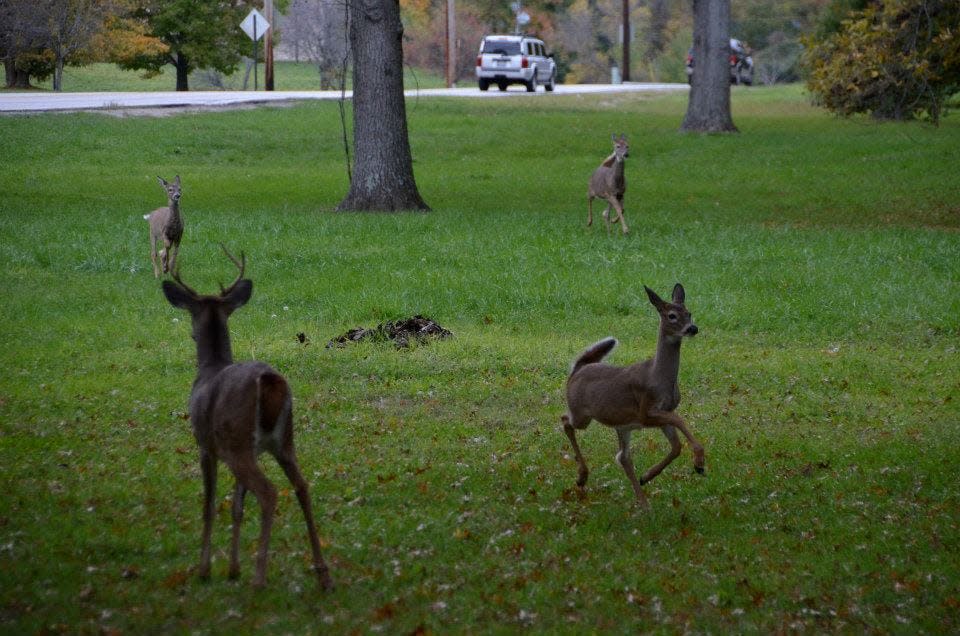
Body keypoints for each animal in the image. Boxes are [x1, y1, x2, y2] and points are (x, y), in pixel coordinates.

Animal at [161, 246, 334, 588]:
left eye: (191, 314)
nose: (191, 334)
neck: (210, 368)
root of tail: (270, 381)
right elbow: (237, 507)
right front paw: (232, 568)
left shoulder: (205, 445)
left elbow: (210, 505)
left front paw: (205, 570)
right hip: (283, 441)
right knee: (302, 486)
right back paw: (321, 573)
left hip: (237, 442)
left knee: (268, 492)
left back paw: (259, 577)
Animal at [564, 284, 704, 506]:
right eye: (672, 316)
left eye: (689, 313)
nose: (692, 328)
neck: (659, 376)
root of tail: (577, 369)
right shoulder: (645, 411)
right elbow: (679, 420)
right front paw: (699, 461)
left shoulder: (662, 411)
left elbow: (676, 446)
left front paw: (647, 476)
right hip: (581, 414)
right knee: (565, 422)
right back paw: (582, 477)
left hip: (622, 426)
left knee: (623, 457)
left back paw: (643, 503)